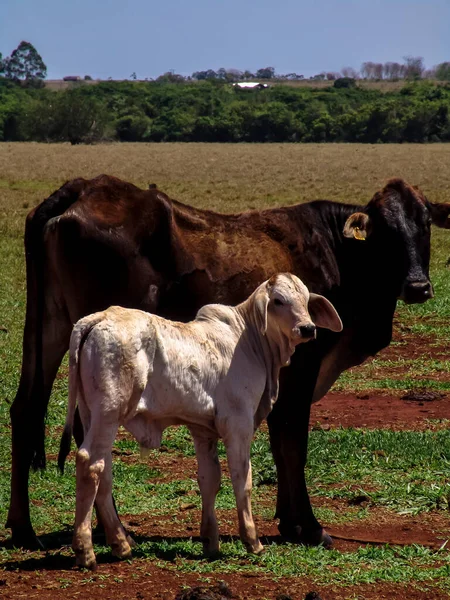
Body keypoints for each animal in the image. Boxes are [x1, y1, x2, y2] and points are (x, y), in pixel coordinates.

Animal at [59, 272, 342, 568]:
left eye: (305, 300)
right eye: (278, 301)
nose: (307, 328)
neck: (249, 339)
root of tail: (97, 318)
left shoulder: (202, 430)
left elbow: (209, 480)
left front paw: (210, 541)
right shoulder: (238, 424)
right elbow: (243, 479)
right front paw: (252, 540)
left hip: (92, 415)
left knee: (104, 470)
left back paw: (120, 544)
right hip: (109, 413)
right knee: (90, 463)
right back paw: (85, 550)